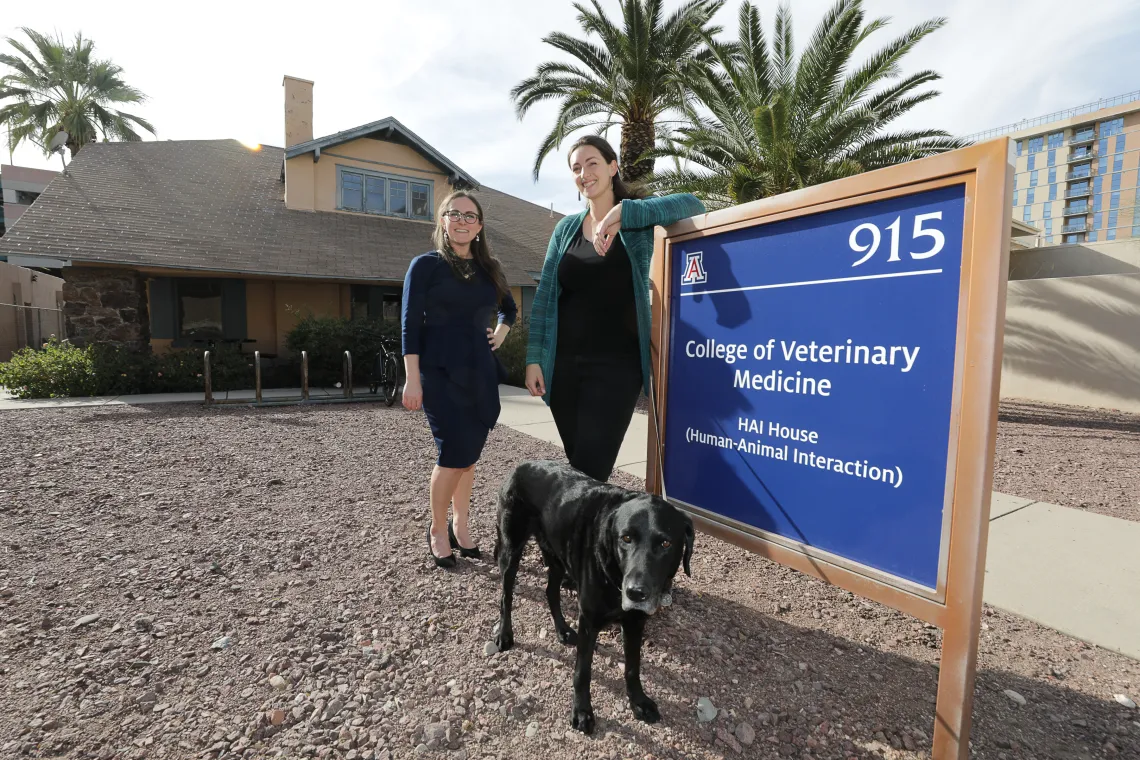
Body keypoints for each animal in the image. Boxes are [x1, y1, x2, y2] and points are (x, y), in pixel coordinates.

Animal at [492, 460, 693, 733]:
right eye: (626, 538)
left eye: (665, 544)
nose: (635, 593)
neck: (616, 575)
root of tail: (522, 464)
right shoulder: (588, 620)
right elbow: (583, 671)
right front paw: (582, 711)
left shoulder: (635, 623)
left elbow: (633, 667)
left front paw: (639, 701)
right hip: (511, 549)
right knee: (506, 596)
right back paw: (504, 634)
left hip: (557, 556)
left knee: (550, 591)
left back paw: (563, 630)